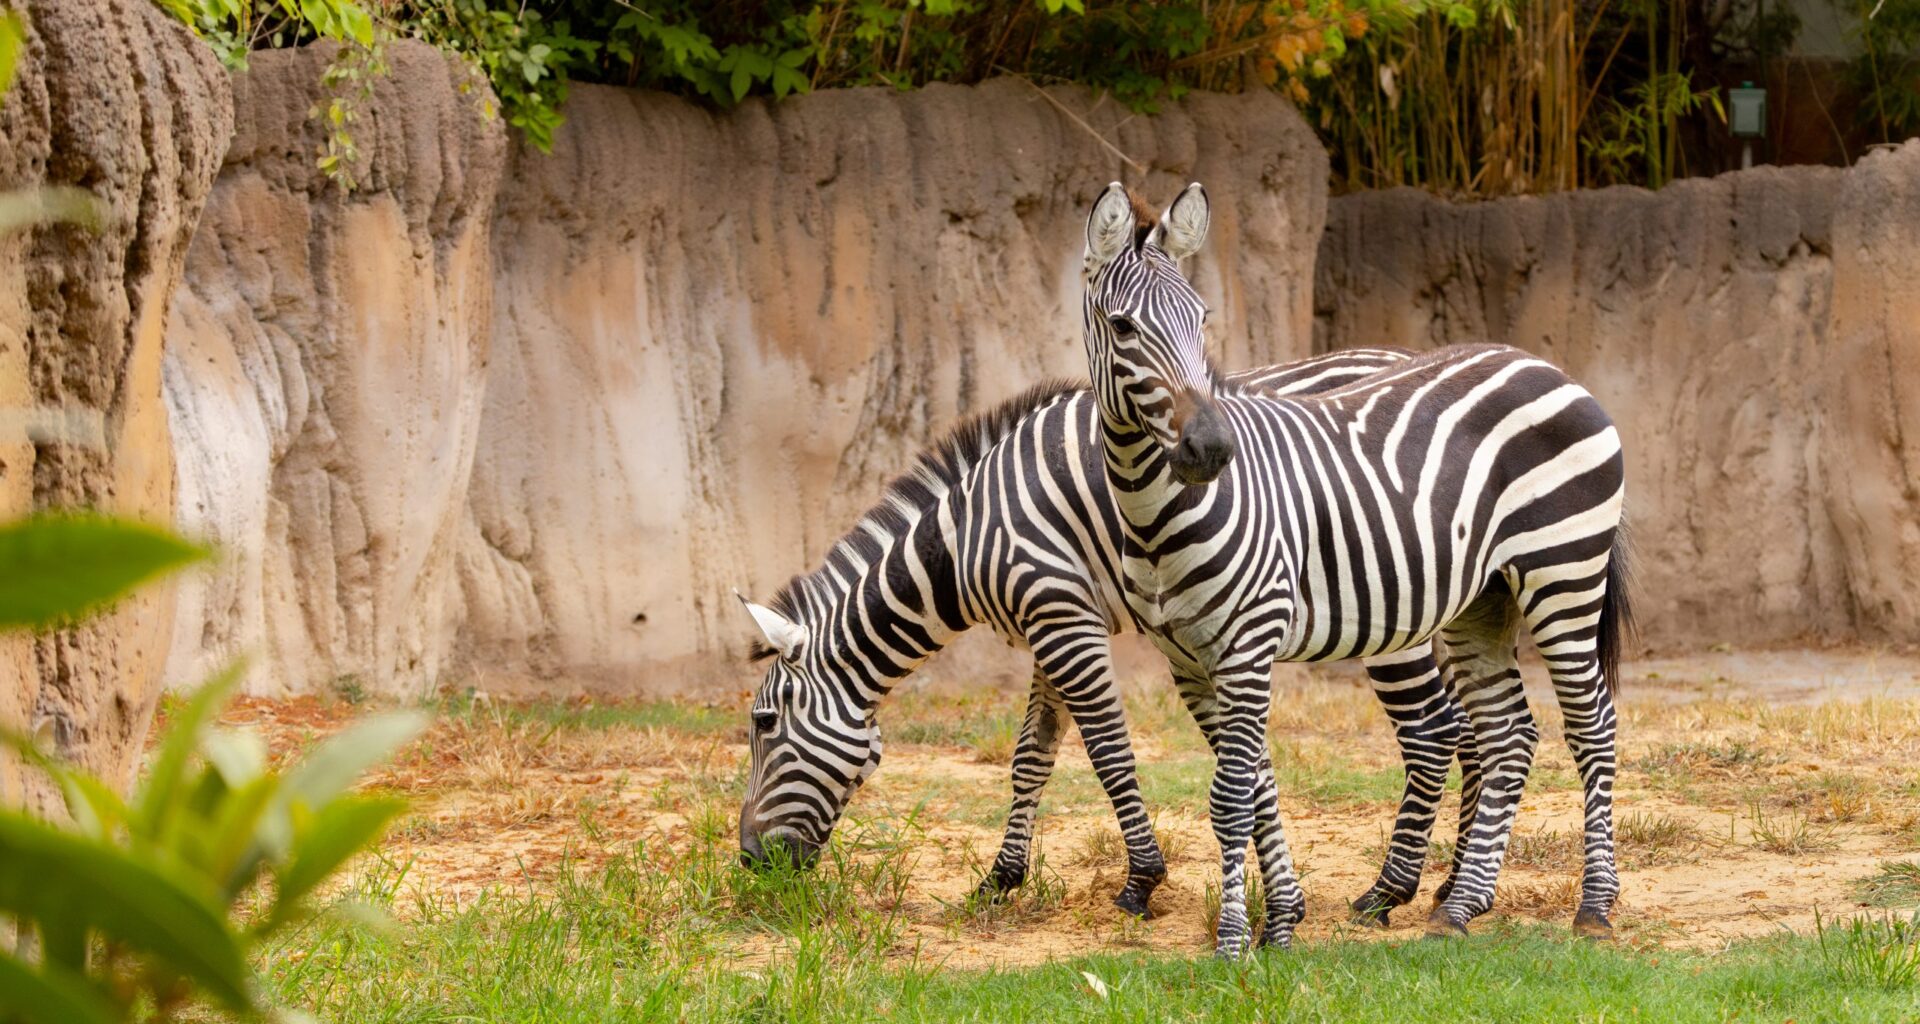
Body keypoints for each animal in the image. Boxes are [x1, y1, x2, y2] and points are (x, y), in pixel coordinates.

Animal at [736, 353, 1481, 925]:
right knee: (1475, 729)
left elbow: (1108, 752)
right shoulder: (1052, 620)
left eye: (763, 722)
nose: (748, 862)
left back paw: (1391, 892)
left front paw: (1141, 881)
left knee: (1431, 733)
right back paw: (1453, 886)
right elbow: (1031, 755)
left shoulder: (1062, 616)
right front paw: (1000, 878)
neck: (964, 538)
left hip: (1392, 608)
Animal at [1077, 181, 1631, 956]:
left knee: (1593, 726)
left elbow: (1230, 798)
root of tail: (1545, 367)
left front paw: (1233, 942)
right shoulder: (1187, 658)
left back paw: (1595, 905)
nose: (1212, 449)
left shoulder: (1249, 641)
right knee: (1509, 733)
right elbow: (1256, 787)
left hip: (1564, 572)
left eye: (1202, 320)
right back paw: (1461, 904)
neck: (1155, 515)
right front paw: (1280, 921)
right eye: (1124, 327)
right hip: (1483, 600)